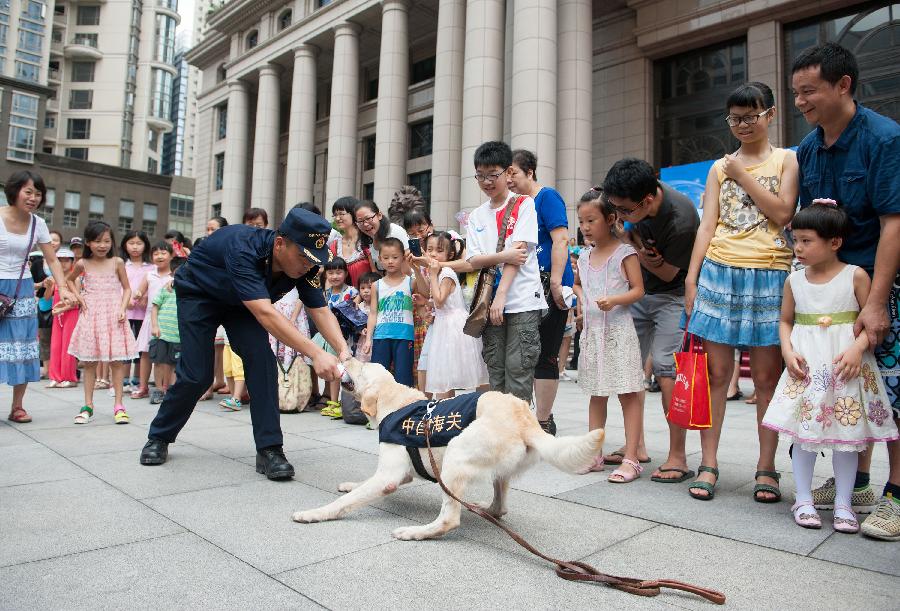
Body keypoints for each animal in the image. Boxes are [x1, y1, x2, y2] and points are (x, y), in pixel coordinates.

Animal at [294, 358, 604, 540]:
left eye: (360, 367)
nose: (345, 356)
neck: (394, 400)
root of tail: (526, 420)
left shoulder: (389, 477)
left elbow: (345, 502)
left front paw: (314, 513)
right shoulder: (401, 472)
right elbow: (358, 486)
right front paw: (349, 484)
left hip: (456, 453)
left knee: (450, 519)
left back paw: (416, 532)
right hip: (494, 469)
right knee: (500, 507)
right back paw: (484, 508)